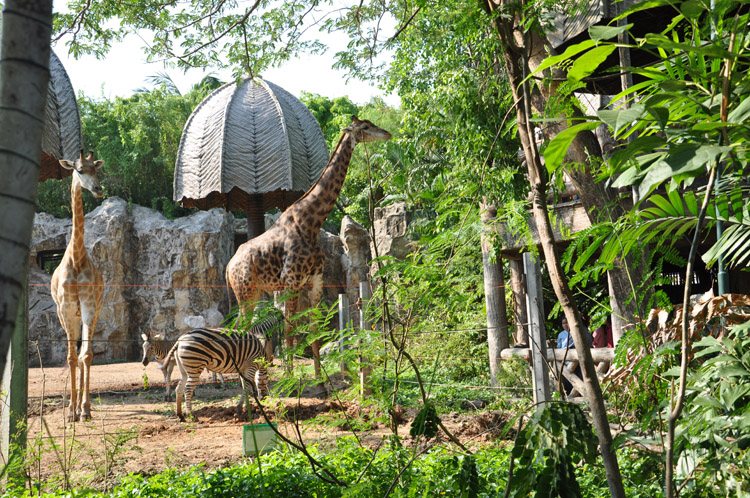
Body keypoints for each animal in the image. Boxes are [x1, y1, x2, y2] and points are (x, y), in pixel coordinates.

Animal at [226, 115, 394, 376]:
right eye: (365, 127)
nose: (387, 133)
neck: (311, 223)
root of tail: (227, 267)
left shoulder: (315, 279)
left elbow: (315, 329)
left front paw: (320, 378)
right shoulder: (291, 280)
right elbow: (290, 330)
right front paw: (291, 377)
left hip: (253, 292)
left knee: (237, 327)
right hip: (244, 290)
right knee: (240, 327)